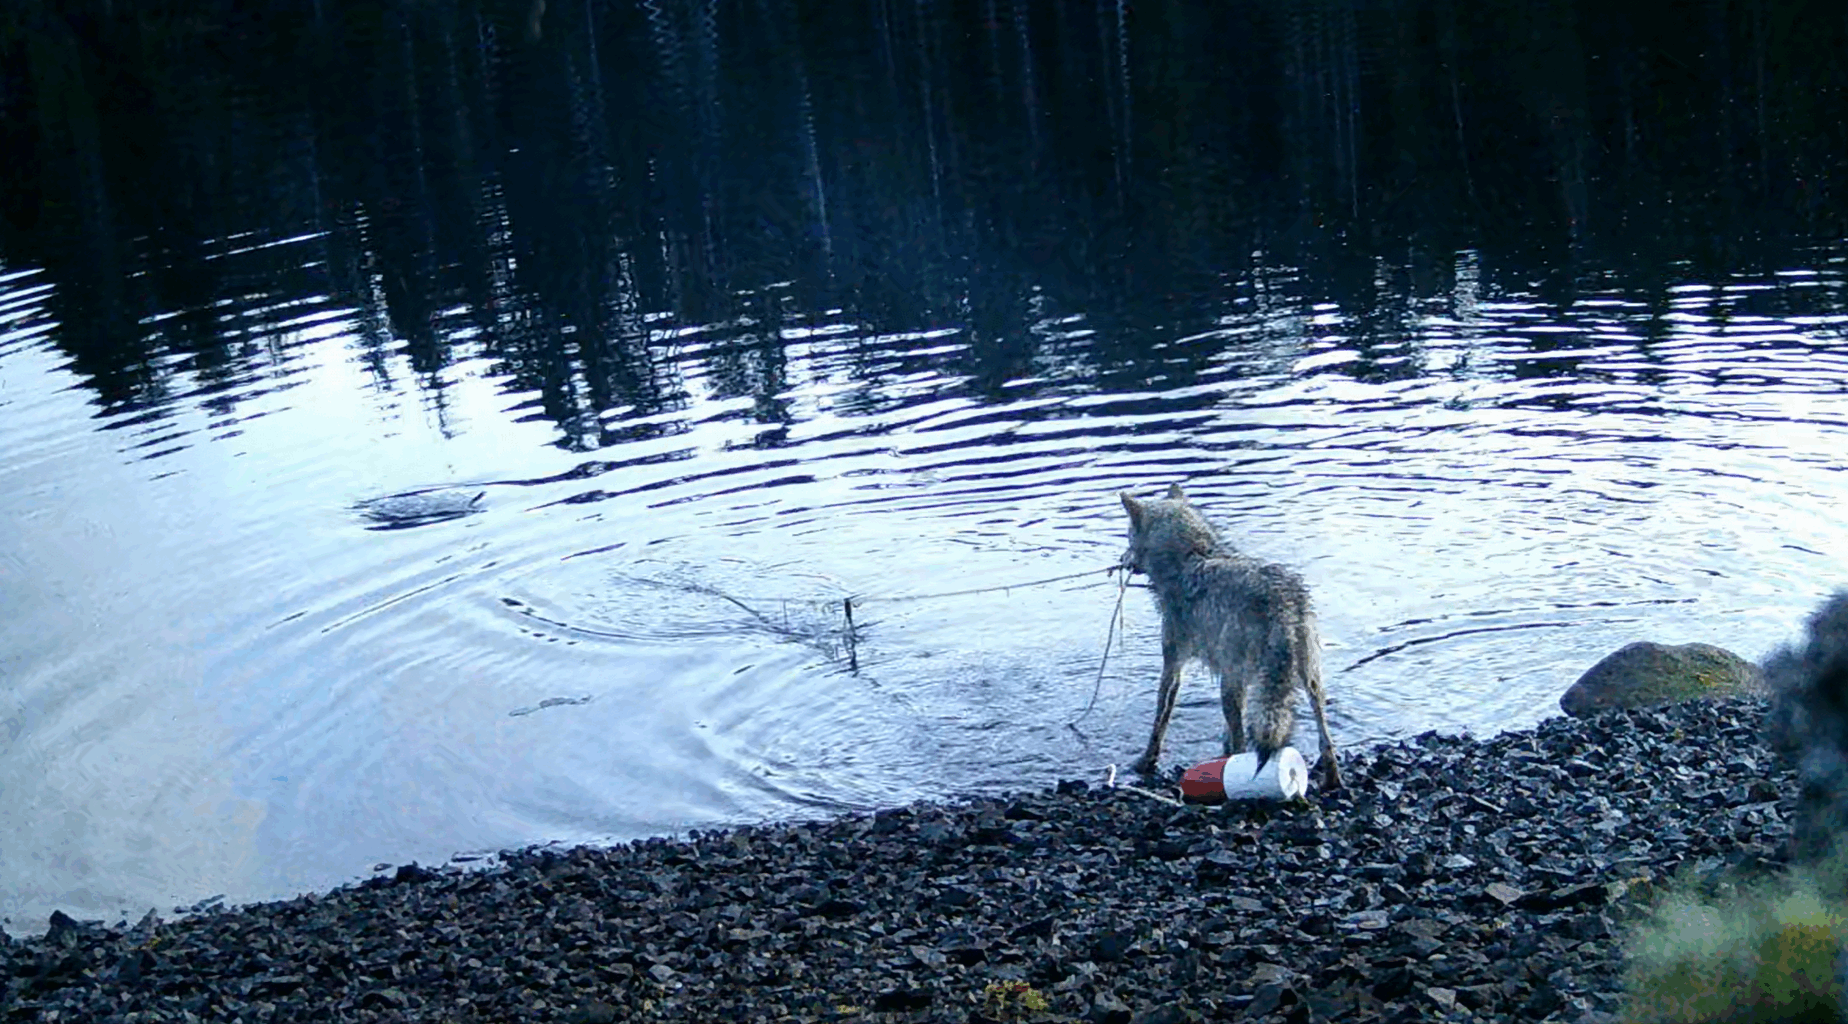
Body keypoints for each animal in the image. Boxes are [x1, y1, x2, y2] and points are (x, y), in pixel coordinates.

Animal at [1119, 483, 1341, 789]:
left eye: (1128, 535)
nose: (1121, 560)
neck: (1193, 556)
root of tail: (1283, 605)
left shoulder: (1173, 664)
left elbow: (1161, 715)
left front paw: (1145, 762)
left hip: (1230, 685)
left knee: (1243, 743)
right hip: (1310, 681)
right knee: (1325, 740)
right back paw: (1332, 780)